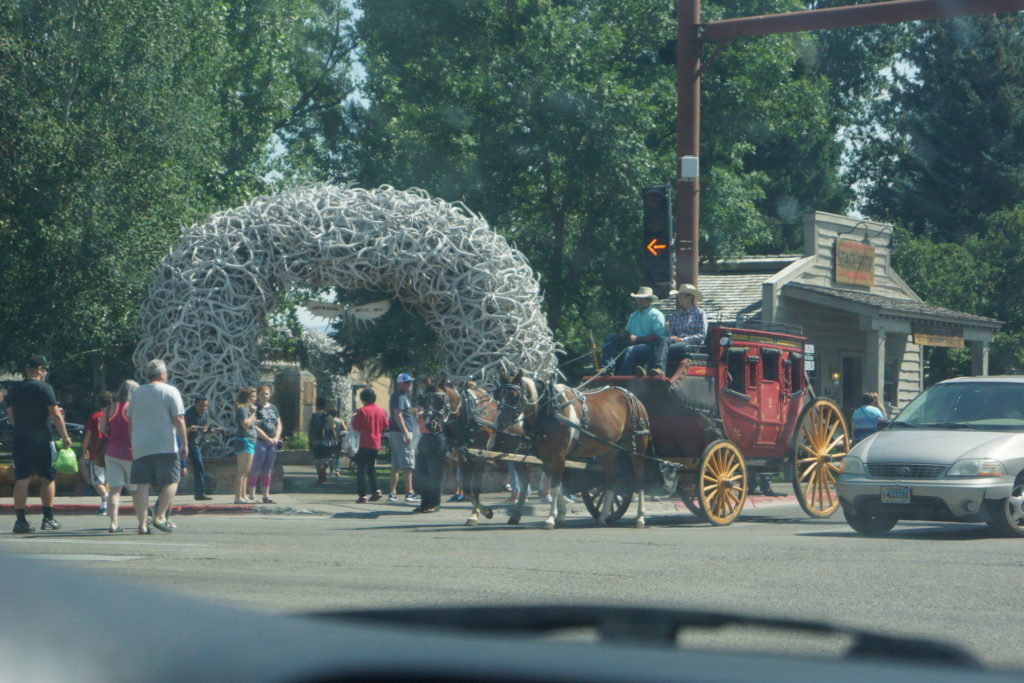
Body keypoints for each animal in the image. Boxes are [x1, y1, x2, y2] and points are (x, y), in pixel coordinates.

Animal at [434, 376, 532, 528]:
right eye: (423, 399)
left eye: (441, 400)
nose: (430, 423)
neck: (469, 418)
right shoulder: (463, 457)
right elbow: (468, 490)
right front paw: (479, 512)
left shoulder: (479, 457)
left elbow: (476, 488)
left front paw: (479, 514)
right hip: (518, 457)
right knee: (525, 482)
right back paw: (515, 516)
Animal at [493, 370, 647, 532]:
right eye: (497, 395)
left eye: (515, 396)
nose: (500, 422)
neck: (549, 411)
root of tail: (632, 396)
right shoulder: (546, 457)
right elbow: (558, 485)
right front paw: (560, 515)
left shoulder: (558, 455)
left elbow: (555, 486)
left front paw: (550, 518)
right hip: (610, 451)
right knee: (611, 480)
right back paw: (603, 517)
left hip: (637, 448)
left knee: (639, 480)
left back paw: (640, 517)